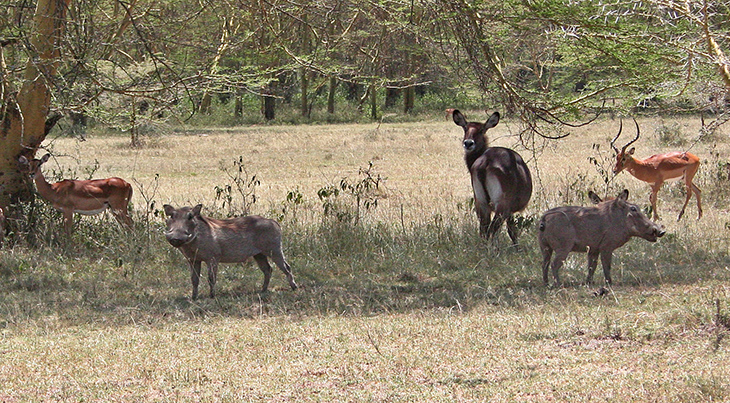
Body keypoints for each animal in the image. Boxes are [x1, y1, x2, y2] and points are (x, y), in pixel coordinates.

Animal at [452, 109, 532, 245]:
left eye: (481, 130)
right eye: (465, 128)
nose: (468, 143)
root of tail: (486, 161)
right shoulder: (509, 210)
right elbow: (512, 231)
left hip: (481, 203)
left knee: (484, 231)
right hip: (501, 206)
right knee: (493, 230)